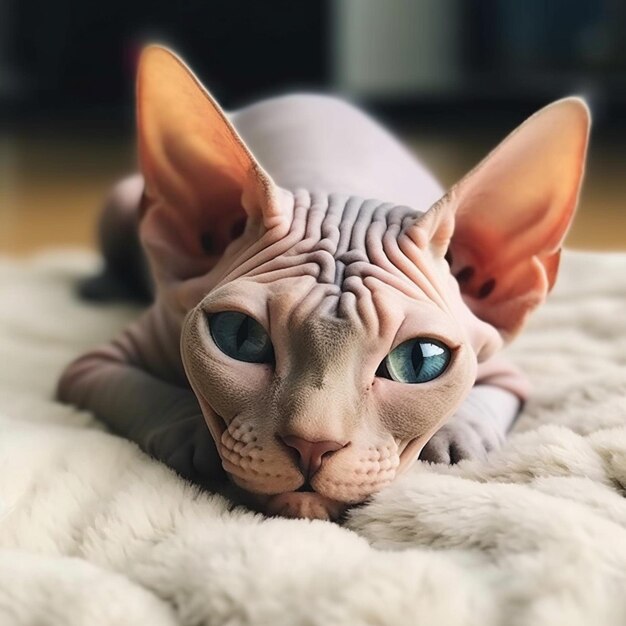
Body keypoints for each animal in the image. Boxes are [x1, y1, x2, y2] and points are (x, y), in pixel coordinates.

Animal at [56, 46, 588, 520]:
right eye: (240, 337)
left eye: (420, 362)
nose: (312, 445)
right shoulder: (96, 365)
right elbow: (142, 393)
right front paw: (195, 439)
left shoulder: (502, 365)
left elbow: (486, 400)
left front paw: (457, 437)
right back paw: (101, 284)